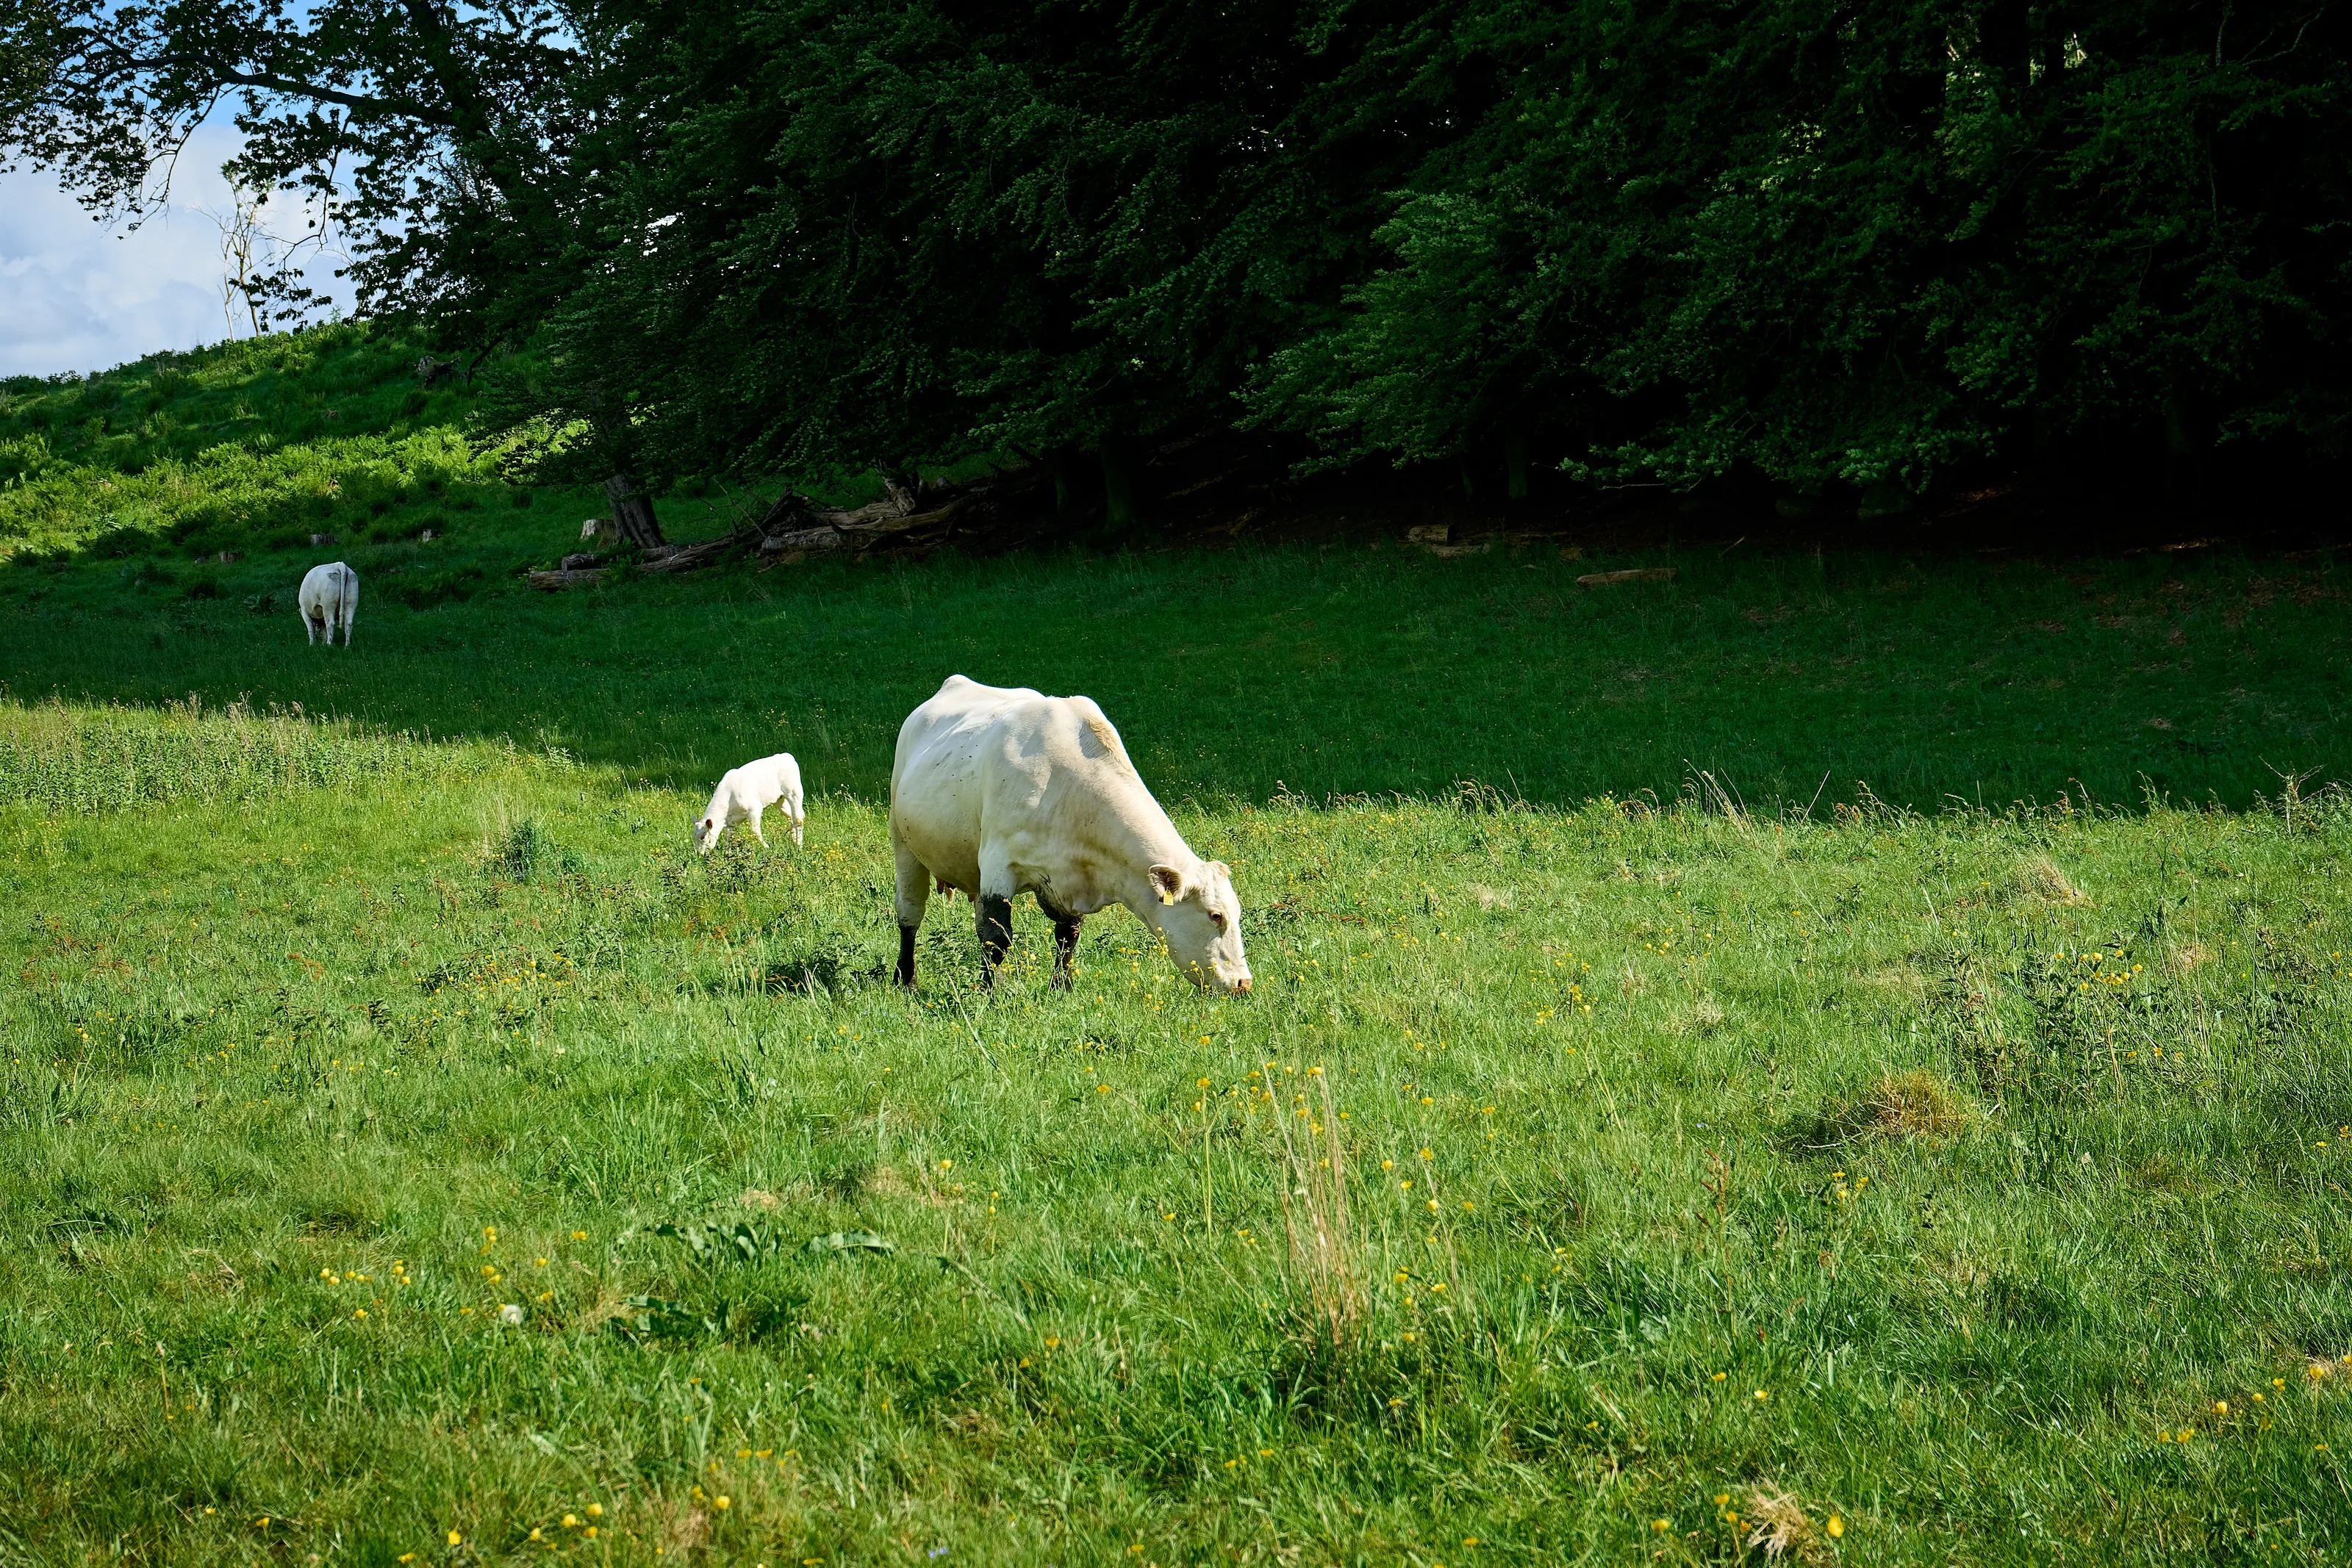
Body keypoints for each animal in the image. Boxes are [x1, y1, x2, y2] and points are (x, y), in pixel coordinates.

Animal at [695, 753, 806, 852]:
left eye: (703, 837)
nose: (699, 854)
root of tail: (786, 756)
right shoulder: (729, 822)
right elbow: (729, 837)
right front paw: (727, 853)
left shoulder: (754, 809)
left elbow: (755, 831)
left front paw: (766, 847)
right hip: (780, 800)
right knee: (791, 818)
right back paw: (794, 842)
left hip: (794, 793)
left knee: (798, 819)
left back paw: (799, 846)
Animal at [888, 675, 1252, 994]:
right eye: (1215, 915)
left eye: (1236, 913)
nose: (1243, 983)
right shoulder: (998, 863)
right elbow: (997, 937)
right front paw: (990, 997)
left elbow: (1067, 936)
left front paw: (1060, 988)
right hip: (903, 843)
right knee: (910, 915)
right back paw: (906, 980)